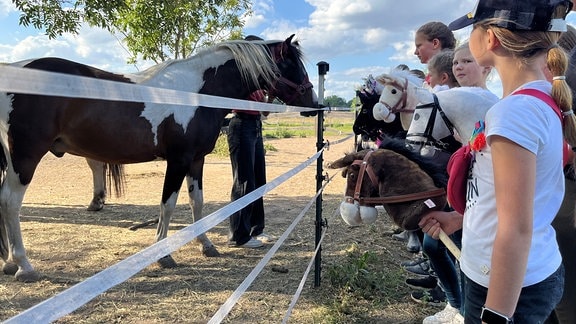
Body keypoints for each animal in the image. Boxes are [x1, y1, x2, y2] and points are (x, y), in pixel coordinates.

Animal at [0, 34, 316, 280]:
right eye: (292, 65)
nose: (313, 104)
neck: (196, 93)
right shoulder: (178, 161)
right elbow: (168, 204)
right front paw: (164, 255)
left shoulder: (196, 160)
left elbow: (197, 202)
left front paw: (206, 245)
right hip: (25, 158)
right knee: (11, 203)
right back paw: (24, 265)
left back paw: (8, 263)